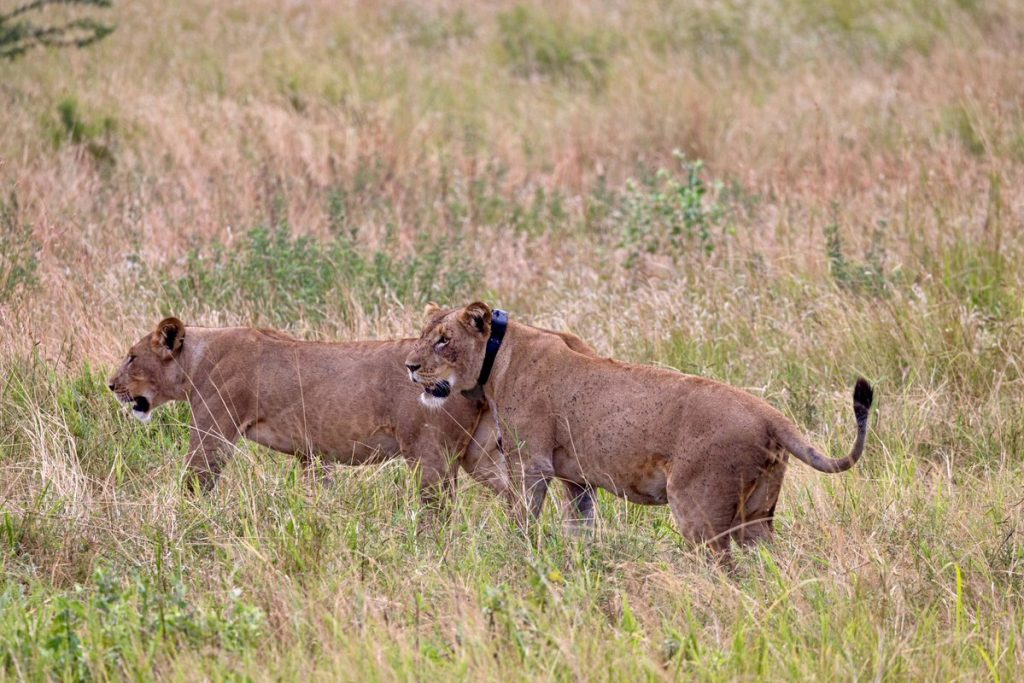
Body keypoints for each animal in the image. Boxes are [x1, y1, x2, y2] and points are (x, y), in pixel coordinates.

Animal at [107, 316, 598, 512]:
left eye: (131, 357)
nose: (111, 384)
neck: (197, 358)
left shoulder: (213, 431)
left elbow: (194, 481)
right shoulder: (312, 454)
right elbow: (317, 488)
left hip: (431, 454)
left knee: (440, 511)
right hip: (479, 454)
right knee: (514, 495)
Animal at [404, 301, 874, 560]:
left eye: (444, 340)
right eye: (424, 335)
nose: (409, 366)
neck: (496, 360)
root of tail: (771, 414)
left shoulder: (531, 465)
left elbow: (521, 519)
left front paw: (518, 555)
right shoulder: (577, 479)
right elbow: (580, 528)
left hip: (698, 509)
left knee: (724, 569)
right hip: (757, 516)